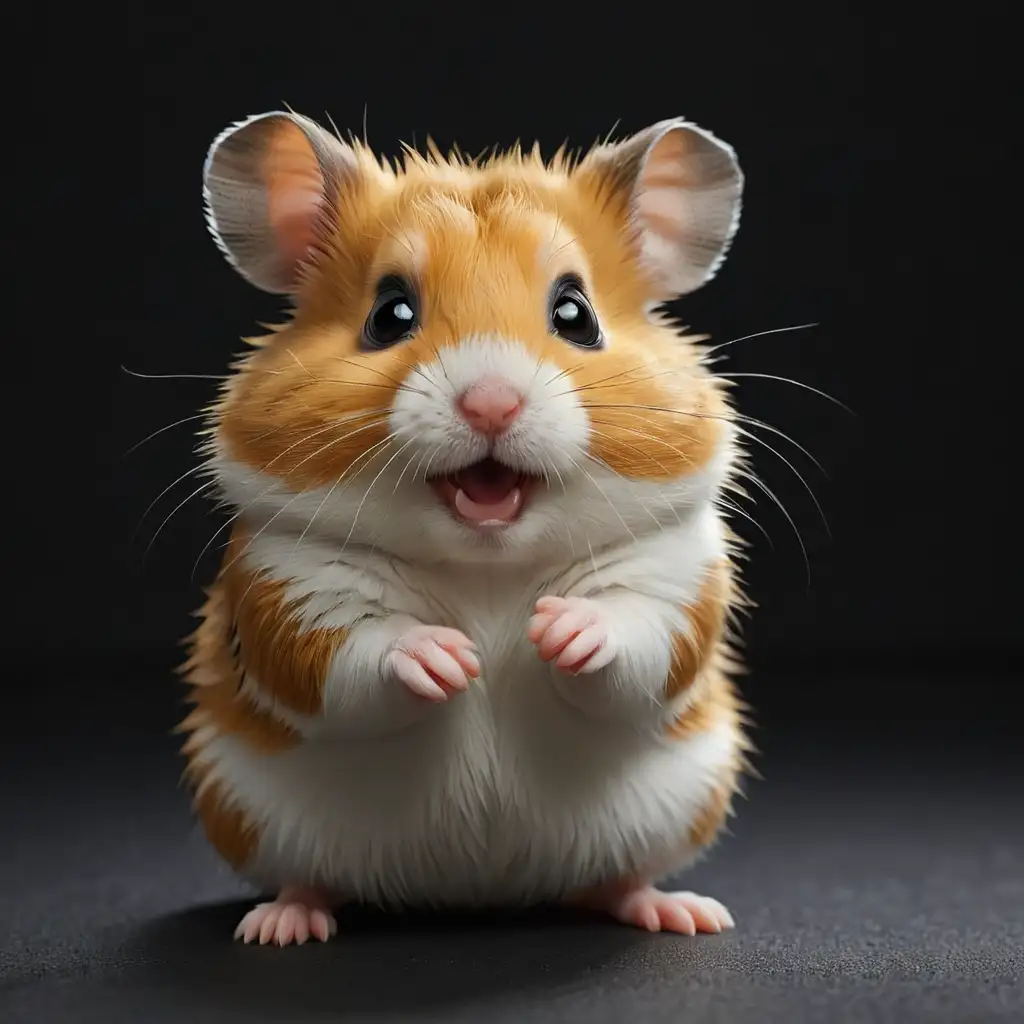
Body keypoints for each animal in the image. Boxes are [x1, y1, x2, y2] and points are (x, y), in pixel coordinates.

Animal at [178, 110, 753, 942]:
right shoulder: (287, 588)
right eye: (389, 314)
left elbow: (640, 638)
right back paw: (280, 925)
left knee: (617, 880)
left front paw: (558, 631)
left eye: (575, 314)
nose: (490, 404)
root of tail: (477, 892)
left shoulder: (675, 574)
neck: (489, 563)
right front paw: (450, 658)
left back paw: (684, 913)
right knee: (306, 878)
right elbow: (347, 655)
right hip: (244, 805)